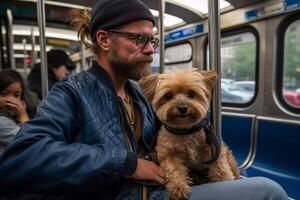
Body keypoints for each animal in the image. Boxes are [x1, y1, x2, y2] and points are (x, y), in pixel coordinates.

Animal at [139, 69, 240, 199]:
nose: (182, 108)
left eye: (191, 94)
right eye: (168, 96)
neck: (185, 130)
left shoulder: (213, 148)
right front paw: (178, 188)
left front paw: (224, 179)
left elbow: (220, 165)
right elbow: (173, 169)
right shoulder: (167, 153)